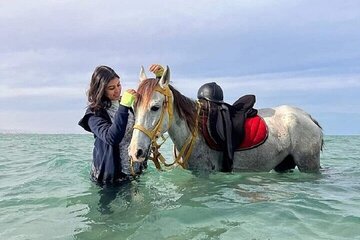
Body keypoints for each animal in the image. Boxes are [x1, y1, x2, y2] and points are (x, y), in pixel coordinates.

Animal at [129, 66, 324, 172]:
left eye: (155, 107)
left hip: (308, 164)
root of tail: (308, 116)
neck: (194, 132)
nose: (134, 152)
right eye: (133, 107)